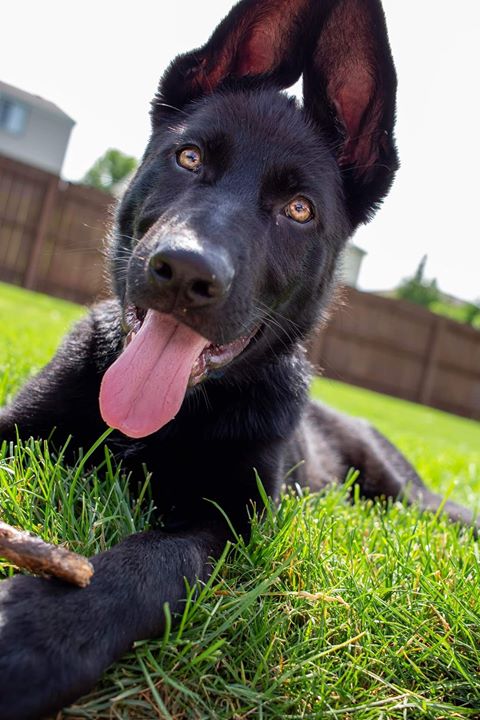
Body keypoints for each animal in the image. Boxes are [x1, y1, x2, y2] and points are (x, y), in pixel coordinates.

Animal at [0, 1, 476, 720]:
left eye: (299, 209)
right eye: (189, 156)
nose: (185, 272)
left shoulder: (231, 523)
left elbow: (151, 567)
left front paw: (35, 635)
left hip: (407, 497)